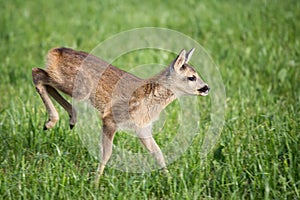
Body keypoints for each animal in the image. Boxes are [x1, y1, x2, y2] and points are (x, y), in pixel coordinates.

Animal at [31, 47, 209, 184]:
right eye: (191, 77)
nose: (207, 88)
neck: (150, 99)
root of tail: (56, 50)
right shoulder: (111, 118)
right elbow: (106, 153)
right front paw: (95, 183)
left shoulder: (142, 128)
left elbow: (158, 153)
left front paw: (170, 180)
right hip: (74, 86)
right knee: (37, 73)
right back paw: (52, 121)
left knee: (43, 78)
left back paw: (70, 117)